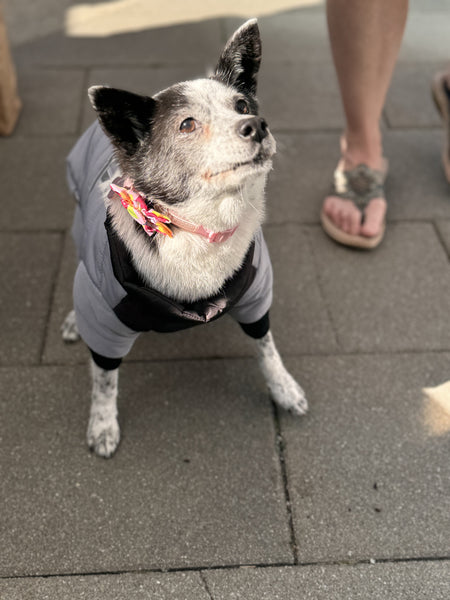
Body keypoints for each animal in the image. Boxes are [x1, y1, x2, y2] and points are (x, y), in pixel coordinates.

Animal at [61, 19, 308, 460]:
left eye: (242, 106)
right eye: (187, 125)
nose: (257, 126)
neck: (201, 228)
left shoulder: (255, 295)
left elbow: (267, 348)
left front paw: (283, 388)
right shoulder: (105, 323)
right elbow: (105, 381)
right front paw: (103, 424)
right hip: (80, 235)